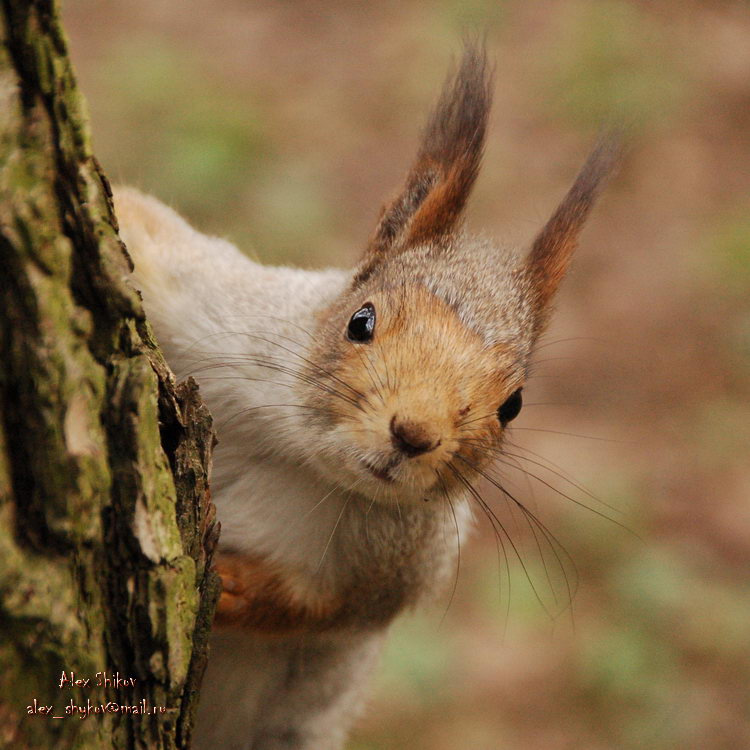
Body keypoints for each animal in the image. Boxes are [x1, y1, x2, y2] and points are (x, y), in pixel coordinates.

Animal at [114, 43, 617, 750]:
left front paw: (242, 586)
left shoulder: (405, 563)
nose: (414, 434)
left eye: (513, 404)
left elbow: (330, 609)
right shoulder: (224, 315)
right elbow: (147, 229)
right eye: (361, 320)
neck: (308, 463)